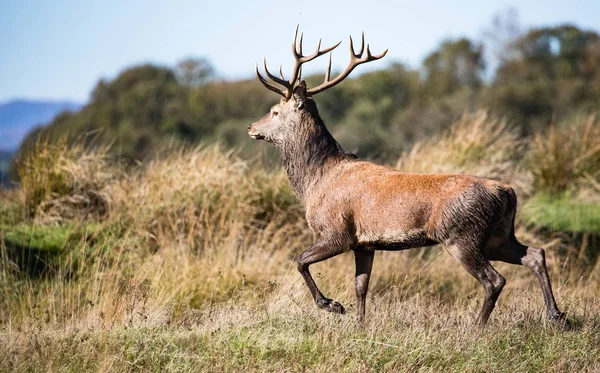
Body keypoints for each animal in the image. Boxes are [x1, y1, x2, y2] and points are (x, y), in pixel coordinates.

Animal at [248, 26, 572, 326]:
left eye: (274, 111)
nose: (251, 127)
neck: (315, 181)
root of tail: (507, 192)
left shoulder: (336, 231)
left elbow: (300, 260)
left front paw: (332, 305)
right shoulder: (364, 243)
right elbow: (361, 286)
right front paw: (360, 324)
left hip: (461, 234)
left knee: (495, 280)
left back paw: (477, 328)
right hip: (498, 235)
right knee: (535, 254)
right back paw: (556, 316)